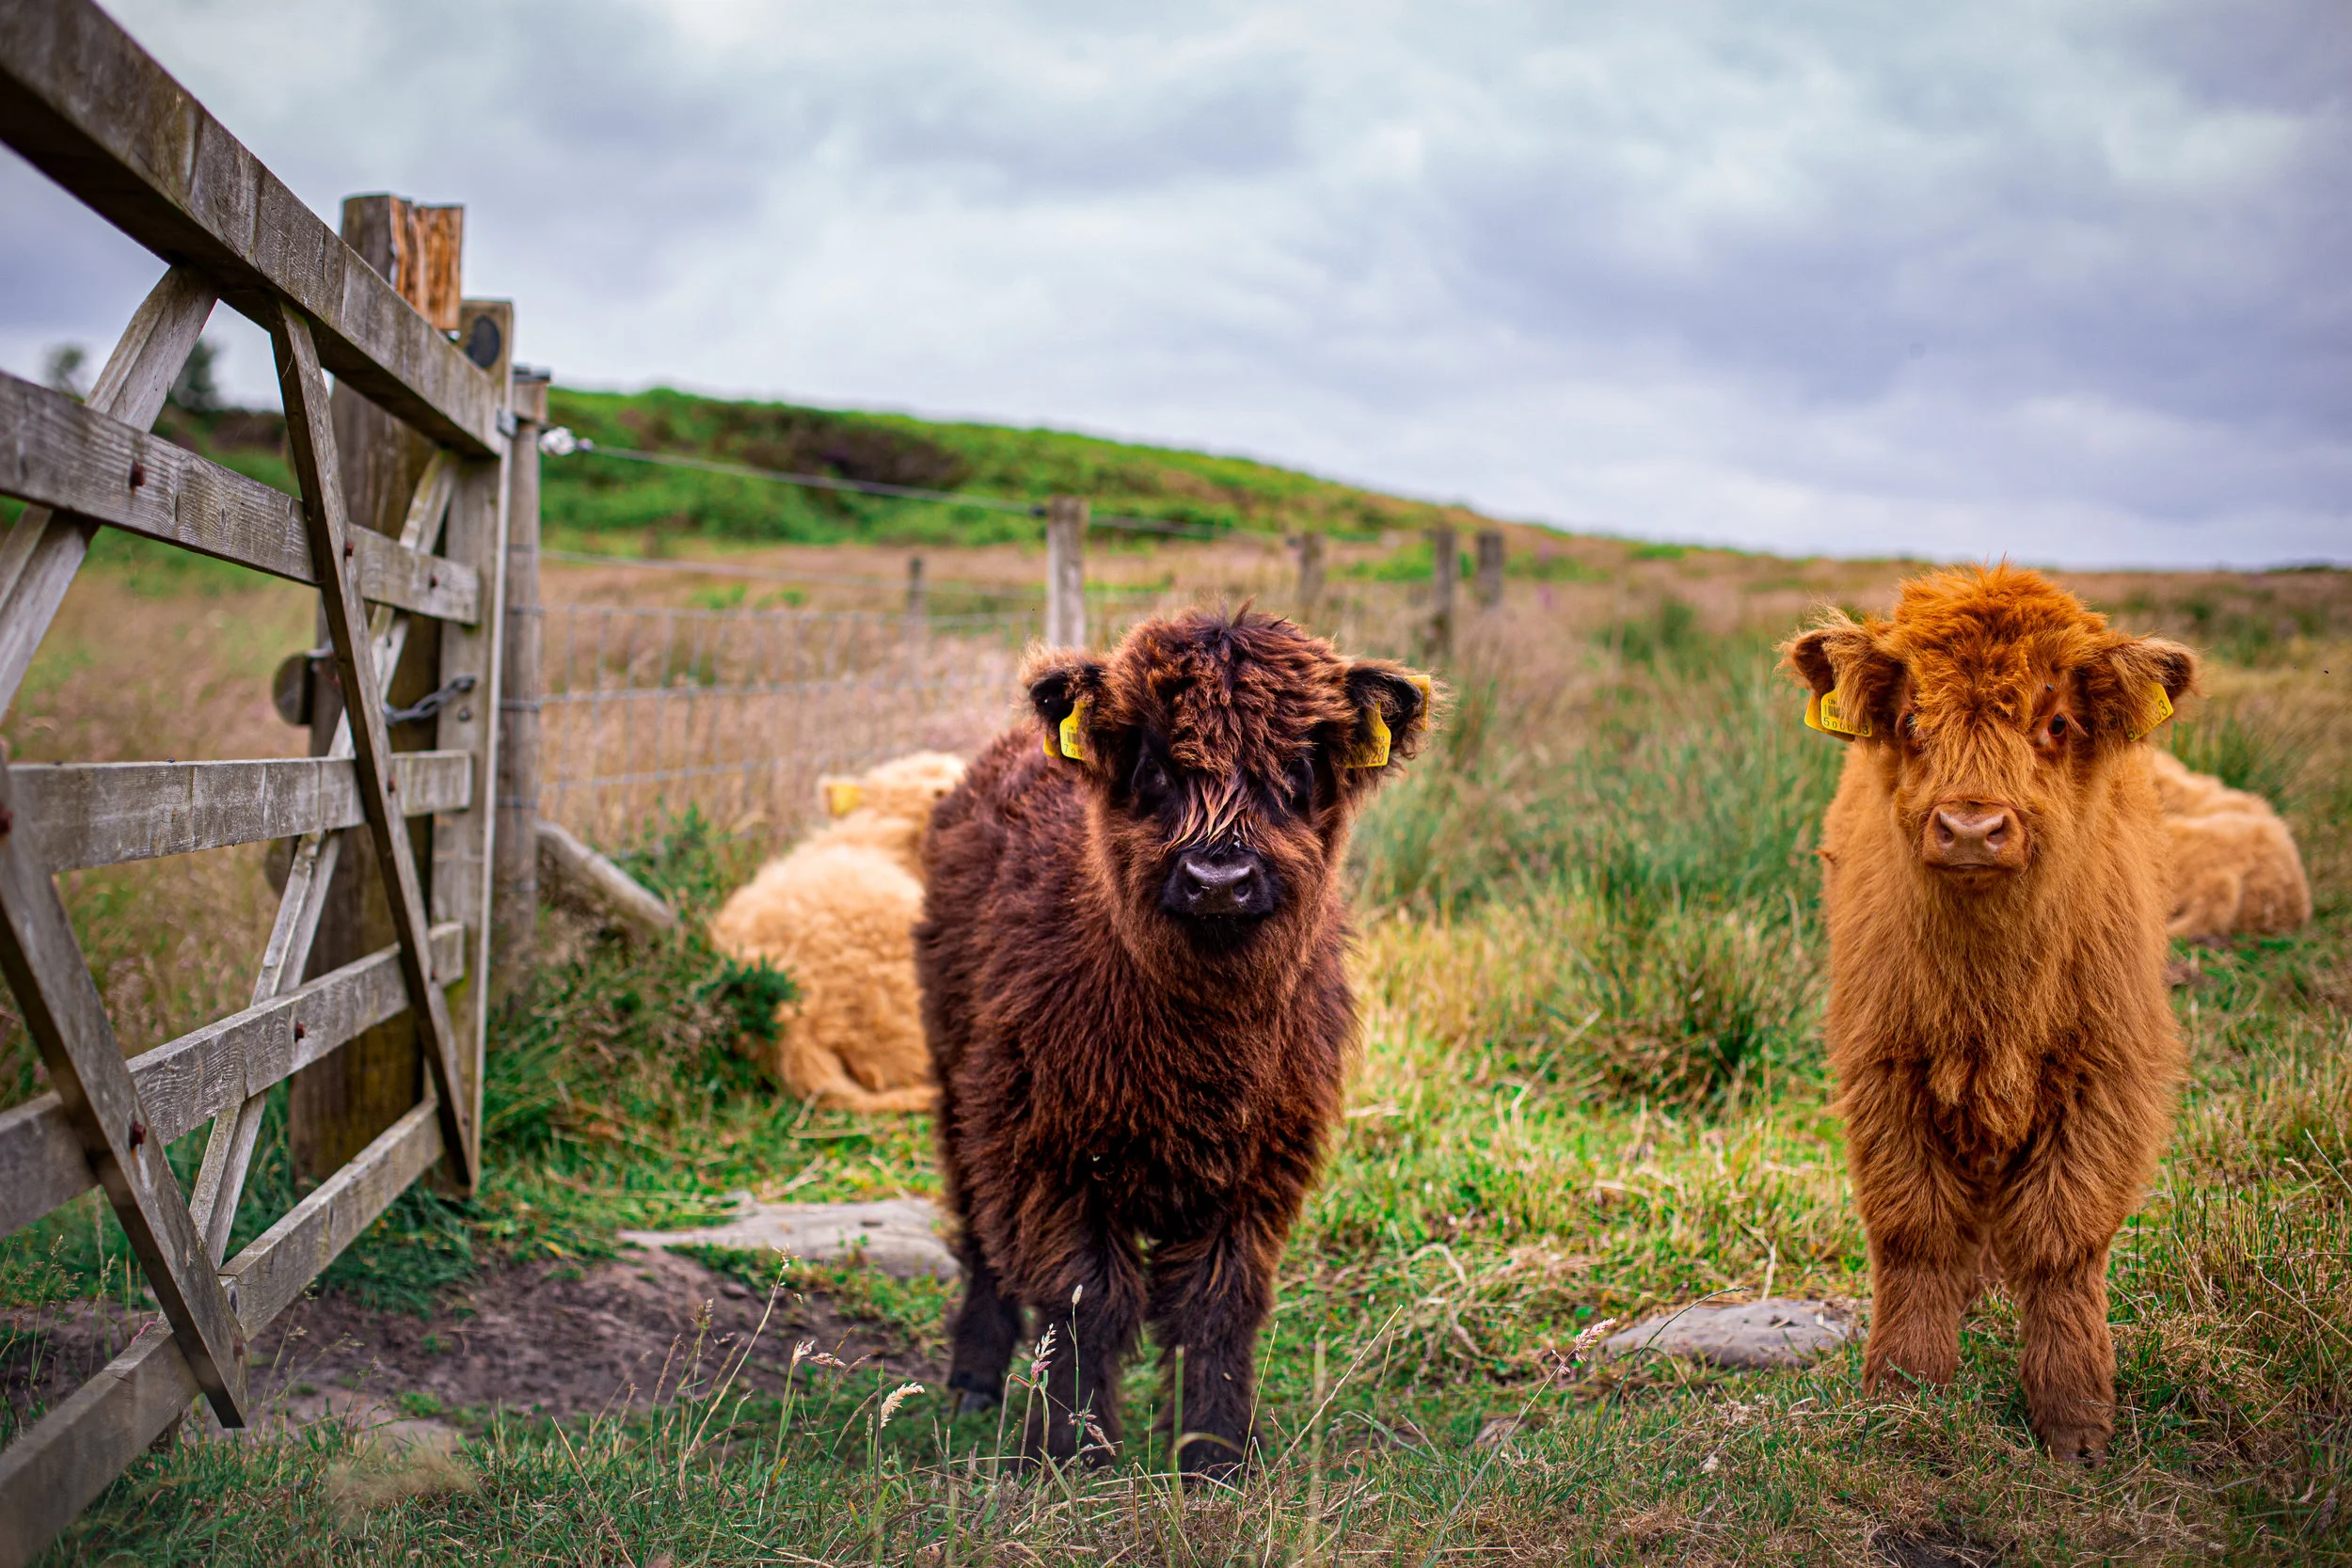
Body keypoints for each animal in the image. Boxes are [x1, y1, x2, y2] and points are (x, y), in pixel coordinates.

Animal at [914, 609, 1432, 1477]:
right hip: (961, 1089)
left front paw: (1217, 1454)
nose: (1218, 879)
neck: (1201, 1055)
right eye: (1155, 766)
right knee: (981, 1234)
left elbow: (1215, 1305)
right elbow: (1087, 1301)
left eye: (1297, 766)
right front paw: (1070, 1451)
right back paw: (975, 1380)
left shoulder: (1259, 1171)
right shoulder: (1047, 1154)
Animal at [1783, 564, 2197, 1463]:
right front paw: (1906, 1393)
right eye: (1911, 719)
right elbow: (1917, 1232)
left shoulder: (2105, 1078)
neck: (1993, 997)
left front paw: (2076, 1420)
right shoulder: (1884, 1073)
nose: (1971, 825)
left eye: (2057, 722)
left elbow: (2061, 1242)